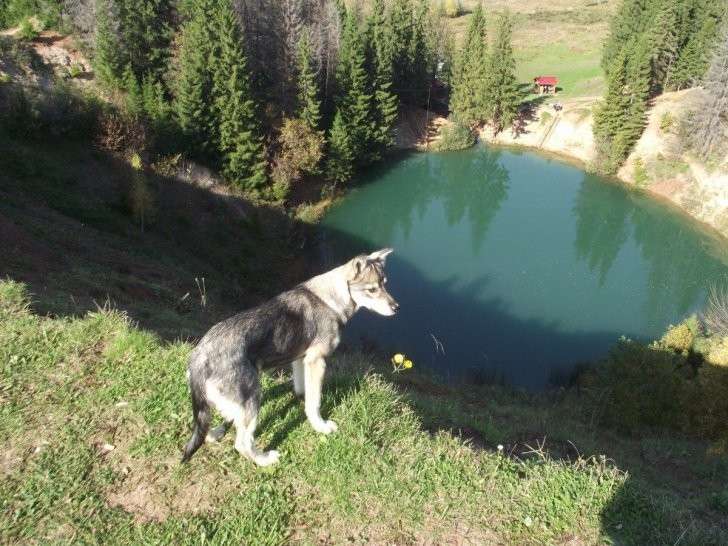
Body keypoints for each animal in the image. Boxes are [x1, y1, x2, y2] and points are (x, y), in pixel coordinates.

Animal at [181, 246, 398, 464]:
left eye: (385, 284)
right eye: (372, 289)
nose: (396, 308)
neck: (330, 299)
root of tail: (200, 357)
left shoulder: (301, 359)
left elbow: (303, 389)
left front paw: (301, 400)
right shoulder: (316, 361)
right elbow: (315, 402)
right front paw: (320, 426)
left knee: (224, 422)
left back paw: (216, 433)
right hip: (252, 396)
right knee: (242, 443)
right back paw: (265, 459)